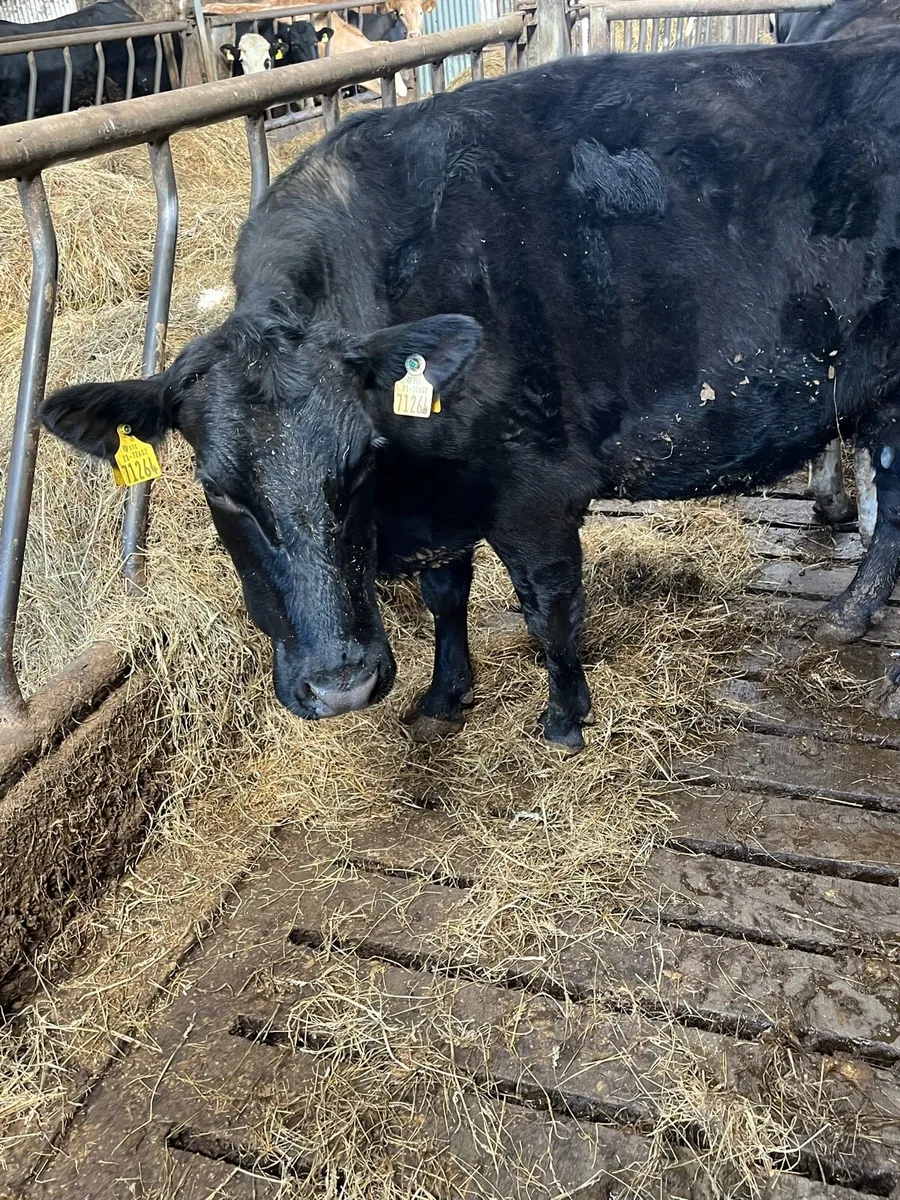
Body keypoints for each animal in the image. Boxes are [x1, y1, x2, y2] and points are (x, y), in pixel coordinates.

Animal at [40, 34, 900, 748]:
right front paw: (443, 697)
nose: (342, 686)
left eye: (359, 464)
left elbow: (547, 607)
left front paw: (563, 721)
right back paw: (851, 615)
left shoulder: (536, 492)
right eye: (219, 491)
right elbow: (445, 595)